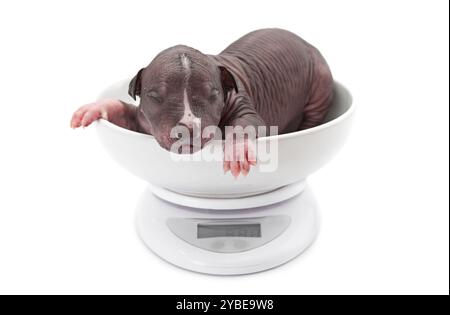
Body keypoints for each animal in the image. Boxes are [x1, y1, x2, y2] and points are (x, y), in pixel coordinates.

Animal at [71, 27, 334, 178]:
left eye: (213, 94)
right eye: (155, 97)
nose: (187, 130)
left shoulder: (240, 102)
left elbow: (245, 122)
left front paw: (237, 152)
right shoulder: (143, 120)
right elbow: (126, 112)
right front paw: (94, 108)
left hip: (319, 83)